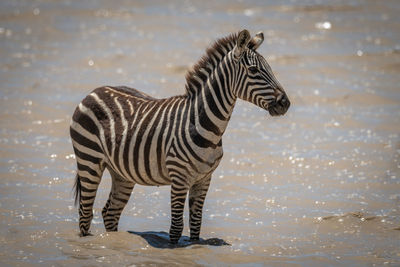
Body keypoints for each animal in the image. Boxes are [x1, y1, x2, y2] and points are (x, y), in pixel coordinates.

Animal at [70, 29, 290, 245]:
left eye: (269, 68)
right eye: (254, 70)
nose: (285, 103)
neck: (206, 126)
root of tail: (94, 91)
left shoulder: (204, 179)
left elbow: (196, 222)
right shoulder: (179, 177)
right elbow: (176, 227)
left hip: (121, 172)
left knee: (110, 213)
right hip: (88, 160)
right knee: (85, 213)